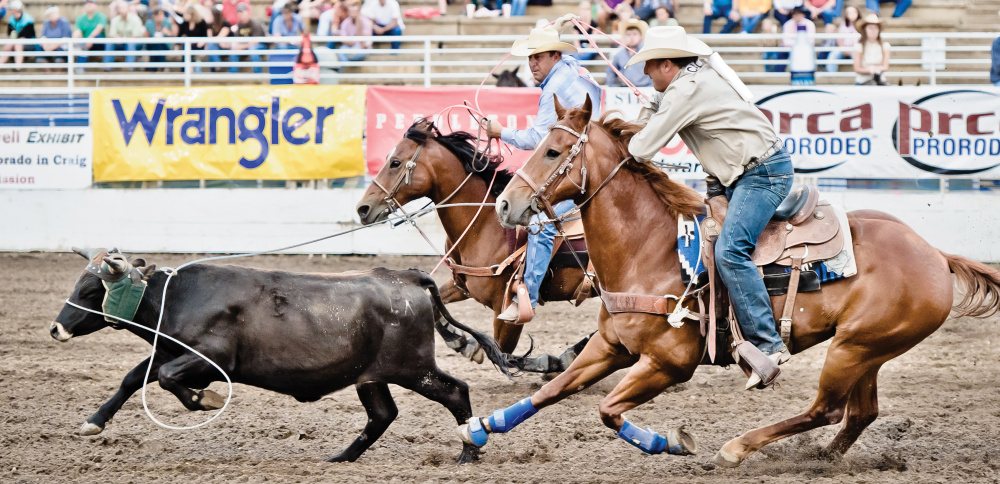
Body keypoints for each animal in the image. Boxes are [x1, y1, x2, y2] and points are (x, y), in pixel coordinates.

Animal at [356, 120, 592, 370]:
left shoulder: (507, 312)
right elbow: (435, 305)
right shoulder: (461, 285)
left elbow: (504, 353)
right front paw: (462, 342)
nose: (362, 208)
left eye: (395, 162)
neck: (484, 224)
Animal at [476, 97, 1000, 466]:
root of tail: (935, 255)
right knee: (859, 413)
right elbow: (551, 391)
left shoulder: (670, 362)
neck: (649, 248)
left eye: (553, 151)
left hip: (854, 348)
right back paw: (820, 458)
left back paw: (738, 447)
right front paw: (479, 428)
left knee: (826, 409)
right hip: (867, 349)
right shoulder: (610, 346)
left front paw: (673, 442)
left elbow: (608, 409)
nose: (504, 203)